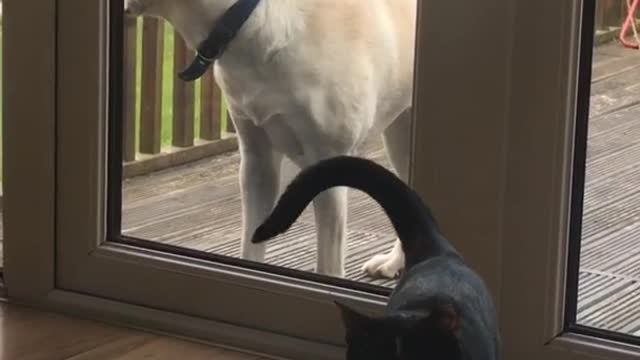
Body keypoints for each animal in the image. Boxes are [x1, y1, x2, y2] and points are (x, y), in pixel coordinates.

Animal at [125, 0, 418, 278]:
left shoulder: (329, 164)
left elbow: (328, 266)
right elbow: (250, 249)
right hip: (400, 137)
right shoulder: (257, 163)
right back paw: (394, 262)